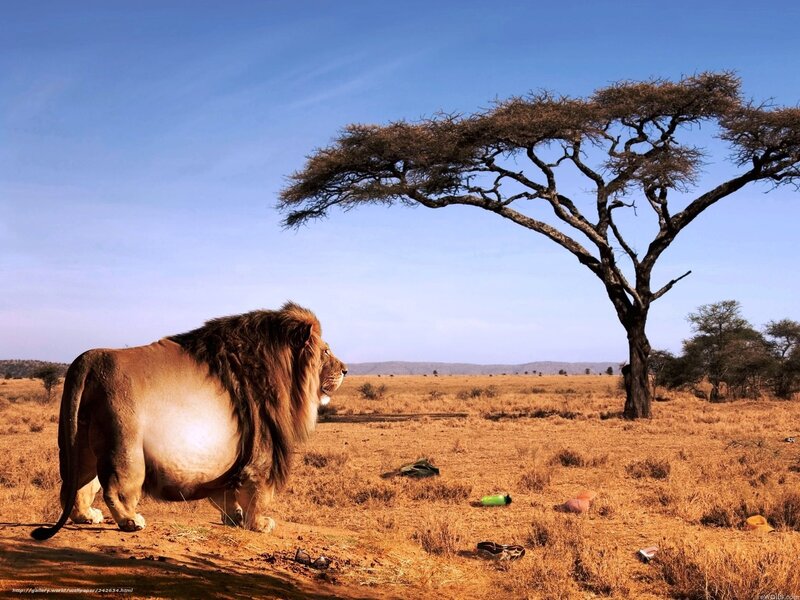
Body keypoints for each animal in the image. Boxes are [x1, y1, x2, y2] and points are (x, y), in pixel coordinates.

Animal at [31, 302, 346, 540]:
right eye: (326, 351)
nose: (345, 369)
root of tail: (89, 359)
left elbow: (227, 494)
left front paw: (235, 518)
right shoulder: (261, 451)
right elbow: (257, 493)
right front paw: (259, 524)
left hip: (78, 443)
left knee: (75, 485)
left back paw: (87, 516)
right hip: (126, 446)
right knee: (114, 488)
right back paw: (131, 521)